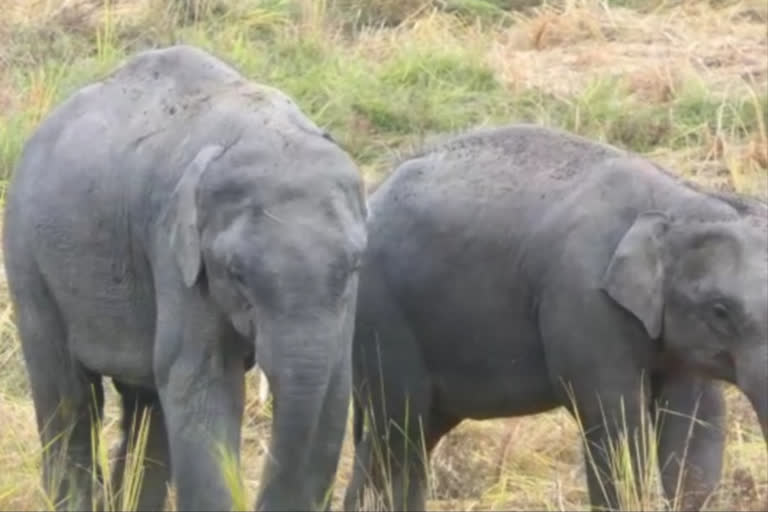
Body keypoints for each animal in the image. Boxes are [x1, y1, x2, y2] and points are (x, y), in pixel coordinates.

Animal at [3, 45, 368, 512]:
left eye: (354, 265)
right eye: (236, 273)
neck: (262, 130)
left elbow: (335, 388)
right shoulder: (173, 252)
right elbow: (201, 382)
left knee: (145, 403)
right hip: (27, 256)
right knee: (68, 394)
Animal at [344, 124, 768, 512]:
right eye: (720, 311)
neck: (681, 201)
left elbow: (694, 422)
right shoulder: (584, 303)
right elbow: (614, 421)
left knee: (402, 437)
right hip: (380, 317)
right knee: (401, 432)